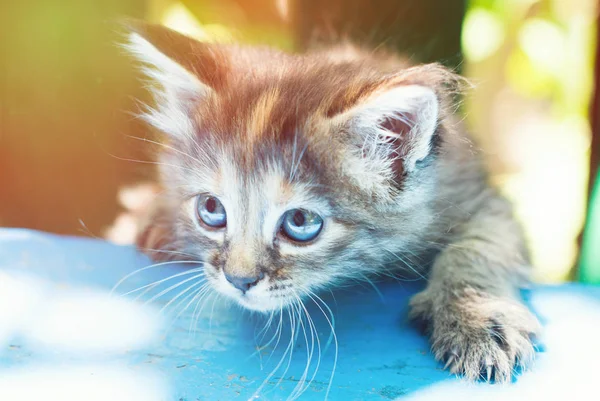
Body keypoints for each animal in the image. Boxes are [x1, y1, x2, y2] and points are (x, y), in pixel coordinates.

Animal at [122, 21, 540, 382]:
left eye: (300, 222)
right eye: (211, 209)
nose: (238, 280)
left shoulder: (483, 199)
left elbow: (475, 249)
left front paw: (477, 317)